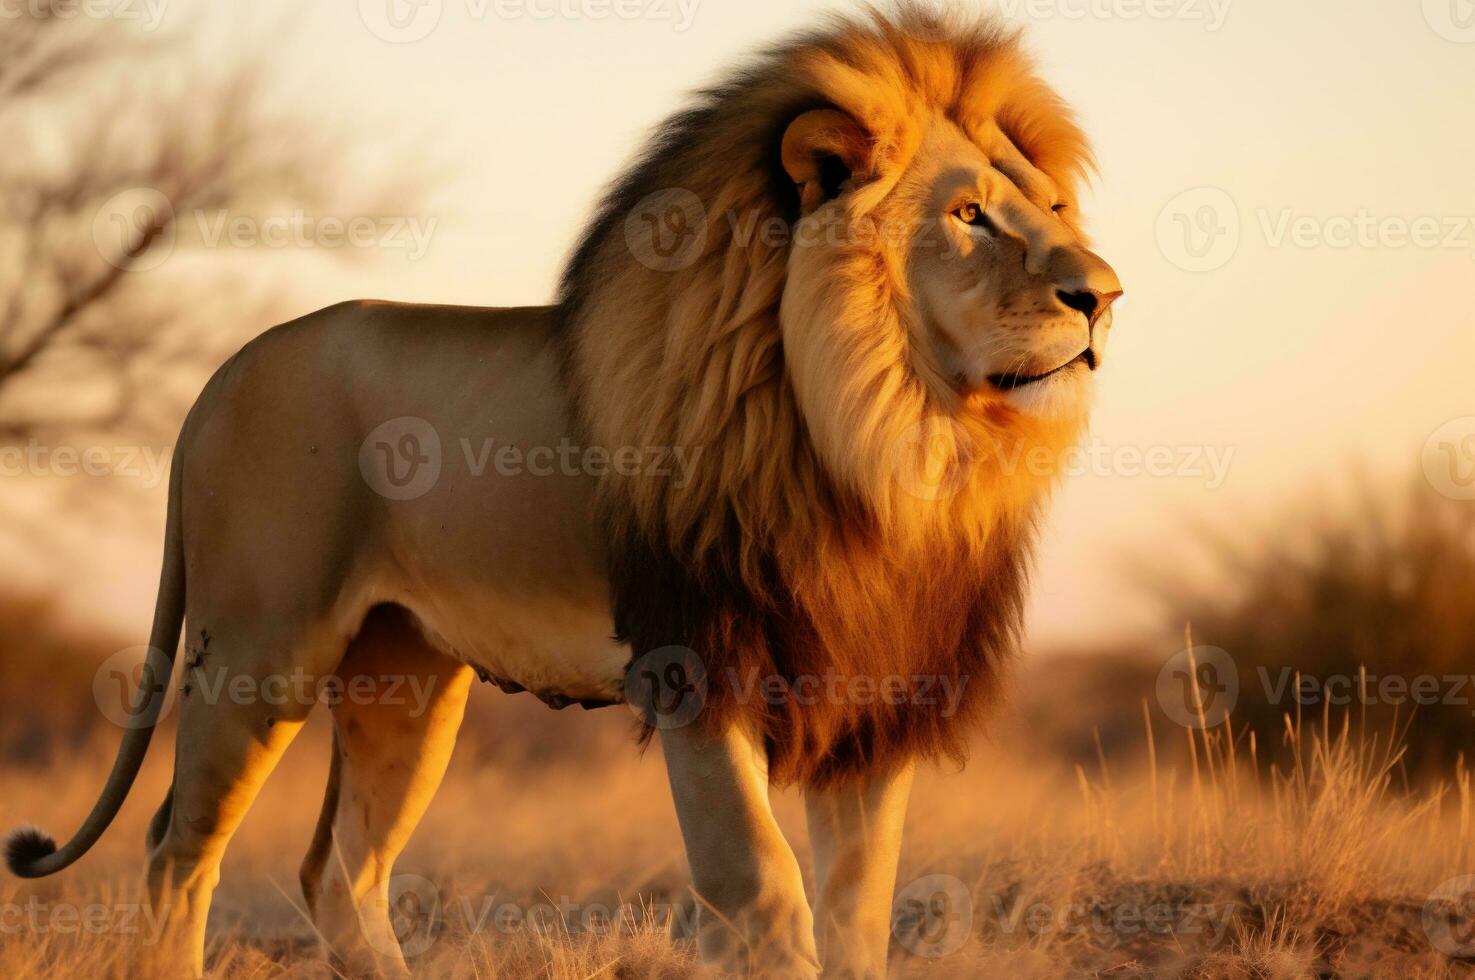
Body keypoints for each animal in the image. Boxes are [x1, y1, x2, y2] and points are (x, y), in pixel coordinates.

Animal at [8, 7, 1115, 980]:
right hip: (257, 647)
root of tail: (224, 371)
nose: (1101, 293)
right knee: (177, 849)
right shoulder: (695, 660)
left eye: (1053, 210)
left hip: (403, 678)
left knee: (340, 868)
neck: (891, 438)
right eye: (967, 216)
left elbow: (859, 906)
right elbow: (762, 882)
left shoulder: (873, 693)